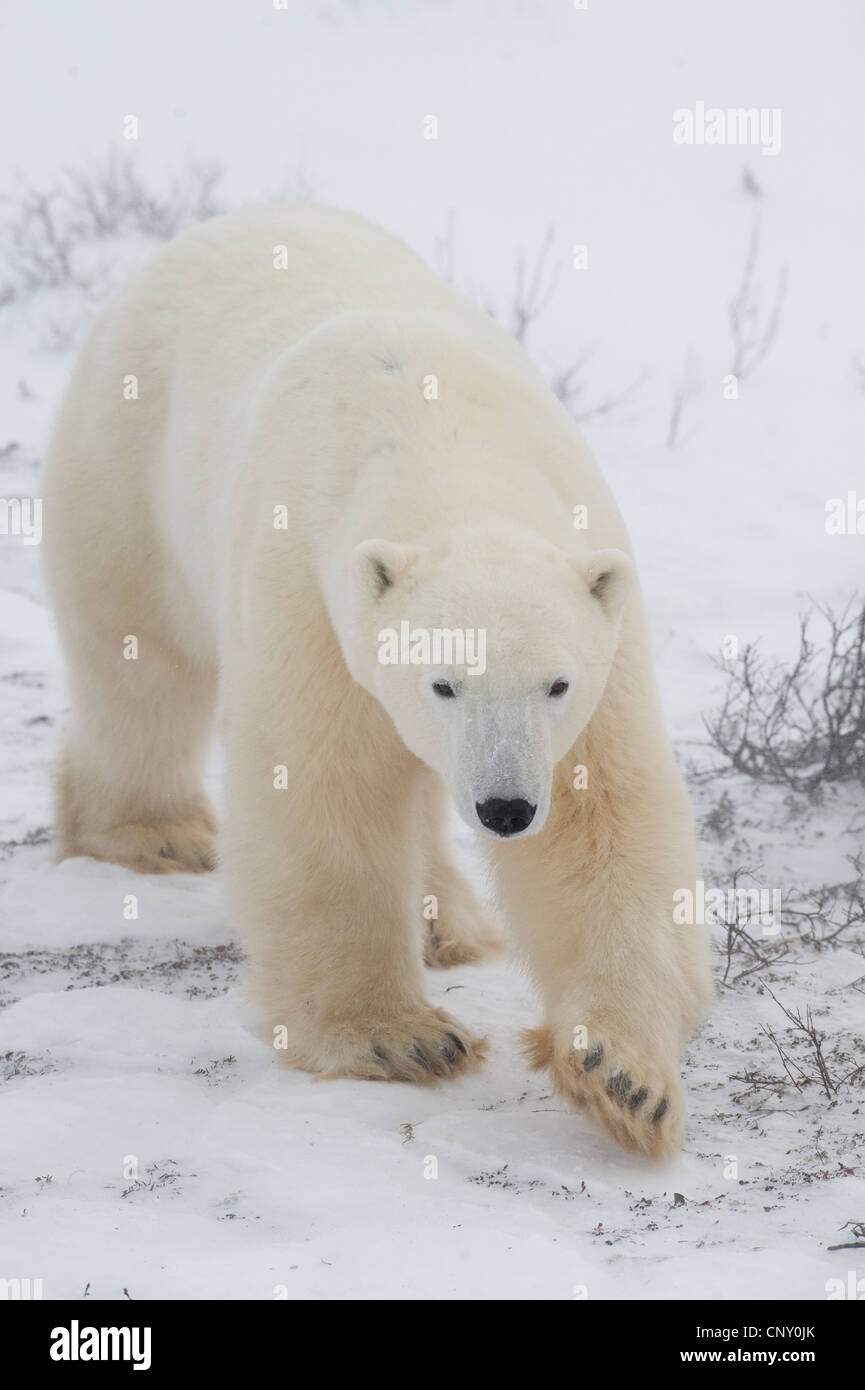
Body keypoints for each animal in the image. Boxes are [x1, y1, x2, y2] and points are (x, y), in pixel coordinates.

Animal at [42, 202, 712, 1162]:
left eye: (554, 685)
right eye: (443, 684)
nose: (505, 808)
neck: (448, 445)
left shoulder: (601, 626)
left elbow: (603, 818)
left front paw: (624, 1076)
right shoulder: (310, 594)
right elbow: (326, 786)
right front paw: (398, 1038)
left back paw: (445, 921)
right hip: (127, 461)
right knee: (140, 664)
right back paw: (150, 831)